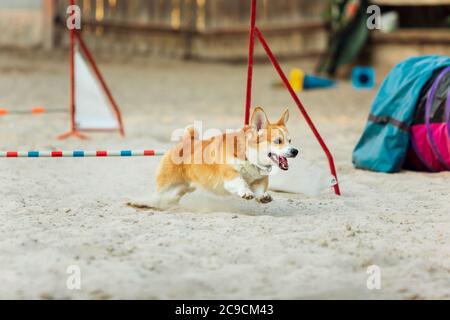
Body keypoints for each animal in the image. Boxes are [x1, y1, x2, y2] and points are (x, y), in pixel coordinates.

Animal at [131, 106, 298, 209]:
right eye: (278, 141)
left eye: (290, 141)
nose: (295, 151)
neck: (249, 157)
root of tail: (186, 141)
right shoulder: (230, 175)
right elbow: (240, 182)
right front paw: (246, 192)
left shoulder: (260, 180)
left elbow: (260, 189)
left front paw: (263, 196)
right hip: (167, 182)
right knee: (157, 195)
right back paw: (144, 203)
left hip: (186, 187)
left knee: (174, 196)